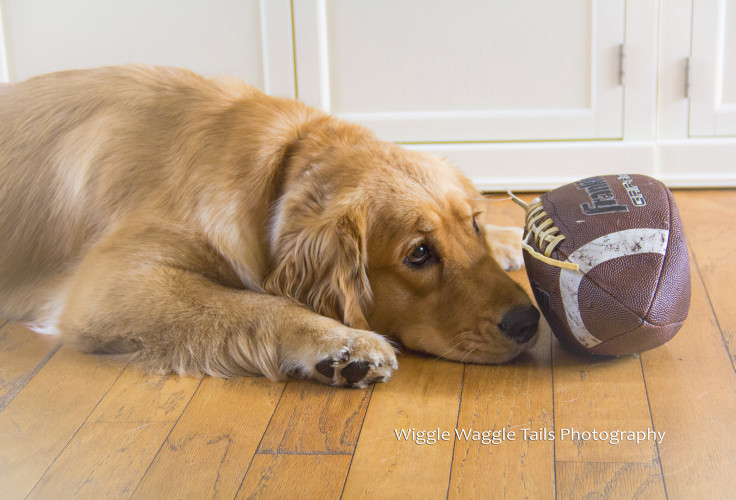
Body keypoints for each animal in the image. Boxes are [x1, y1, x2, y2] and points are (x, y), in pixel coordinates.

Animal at [0, 65, 540, 386]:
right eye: (419, 254)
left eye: (473, 225)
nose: (528, 321)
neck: (277, 171)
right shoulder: (107, 285)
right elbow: (252, 303)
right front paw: (340, 342)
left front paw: (512, 237)